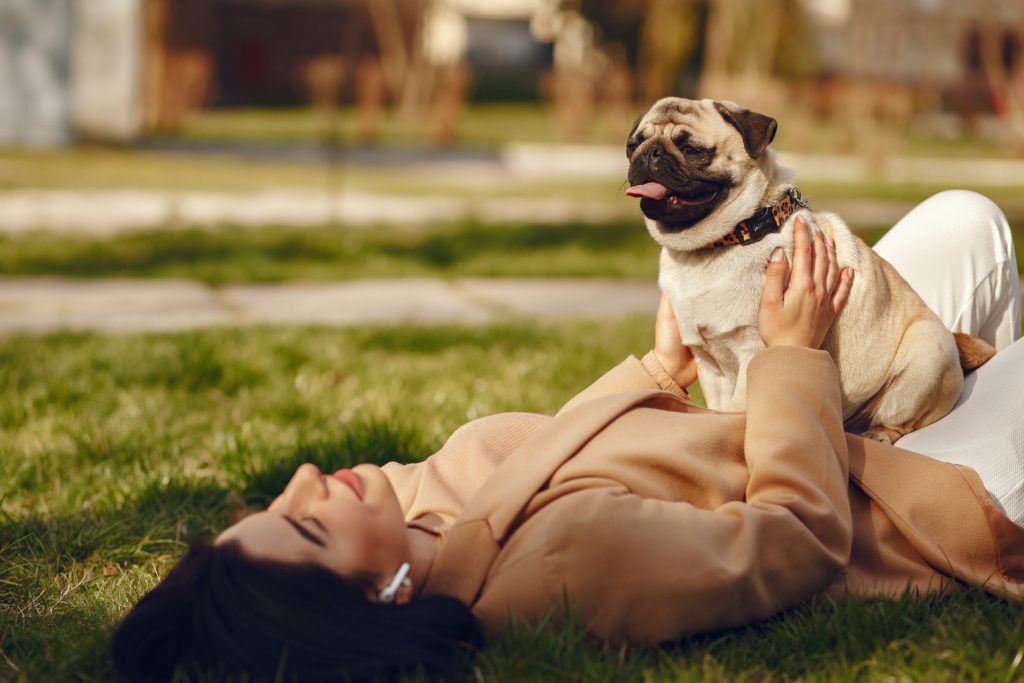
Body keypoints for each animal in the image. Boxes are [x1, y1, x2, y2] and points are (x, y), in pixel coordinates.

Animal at [622, 98, 991, 446]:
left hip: (927, 356)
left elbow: (740, 410)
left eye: (692, 149)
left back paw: (878, 434)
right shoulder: (709, 363)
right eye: (632, 145)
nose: (649, 152)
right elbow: (718, 410)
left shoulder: (753, 351)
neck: (722, 242)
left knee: (899, 419)